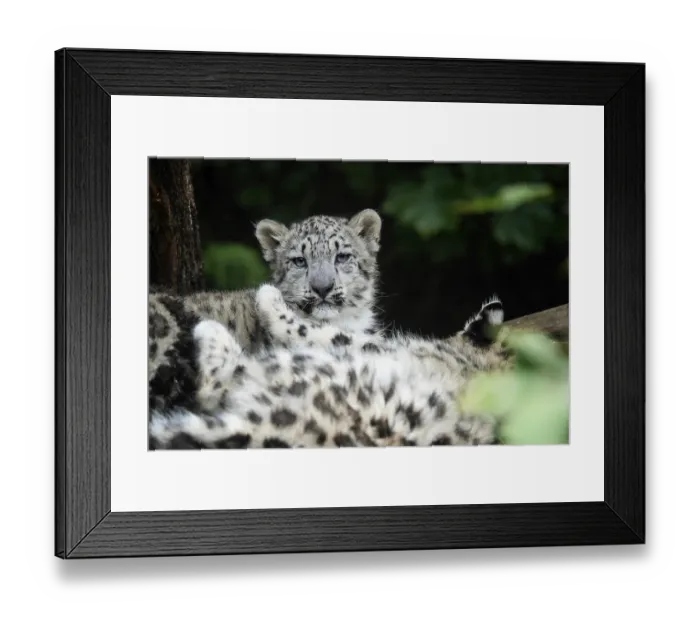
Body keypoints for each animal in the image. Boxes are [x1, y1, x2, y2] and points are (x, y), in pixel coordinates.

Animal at [148, 284, 511, 450]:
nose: (493, 303)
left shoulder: (373, 345)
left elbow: (327, 332)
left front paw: (269, 298)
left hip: (292, 365)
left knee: (218, 381)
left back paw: (211, 330)